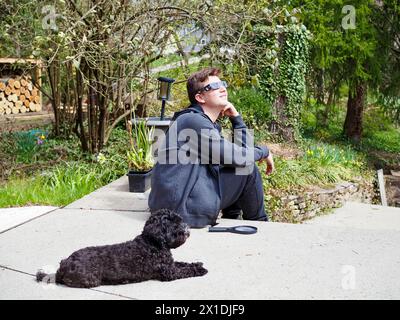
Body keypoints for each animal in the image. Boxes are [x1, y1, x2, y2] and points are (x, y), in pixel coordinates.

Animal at [36, 209, 208, 288]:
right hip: (91, 279)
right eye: (173, 225)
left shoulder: (171, 264)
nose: (186, 229)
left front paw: (197, 263)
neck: (152, 243)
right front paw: (200, 270)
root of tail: (63, 265)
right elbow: (185, 271)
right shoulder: (170, 272)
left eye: (179, 221)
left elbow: (183, 263)